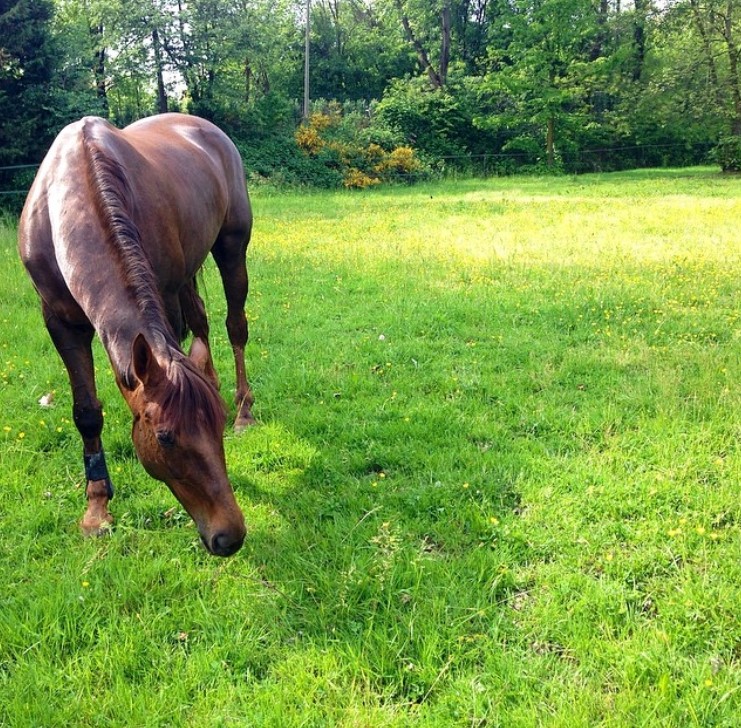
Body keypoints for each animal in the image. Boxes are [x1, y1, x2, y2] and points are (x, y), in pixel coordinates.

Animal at [17, 114, 254, 556]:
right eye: (165, 438)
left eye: (216, 426)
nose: (229, 536)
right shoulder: (60, 324)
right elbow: (86, 413)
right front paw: (97, 507)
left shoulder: (163, 299)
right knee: (202, 325)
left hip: (231, 249)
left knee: (235, 326)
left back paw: (246, 409)